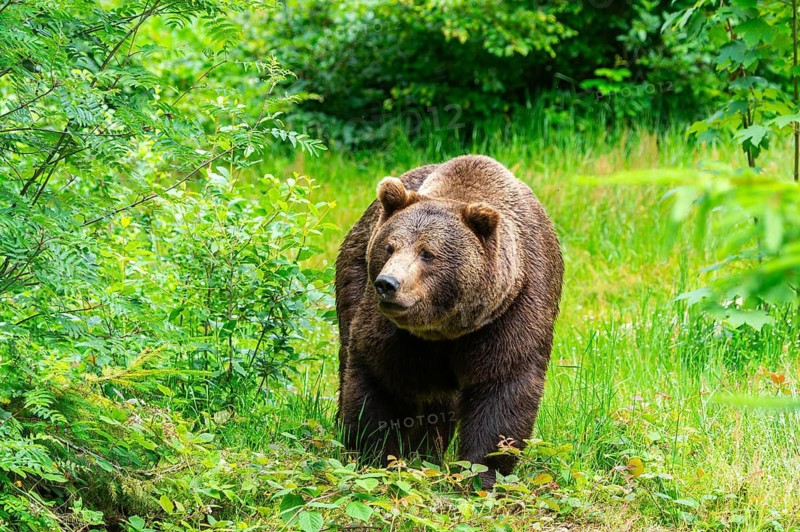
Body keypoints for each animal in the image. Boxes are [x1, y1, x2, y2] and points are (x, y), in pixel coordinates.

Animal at [335, 155, 563, 487]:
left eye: (427, 254)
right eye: (389, 247)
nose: (387, 284)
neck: (443, 329)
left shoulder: (514, 310)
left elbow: (502, 388)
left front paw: (482, 473)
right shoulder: (391, 330)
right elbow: (377, 377)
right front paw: (375, 456)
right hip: (351, 276)